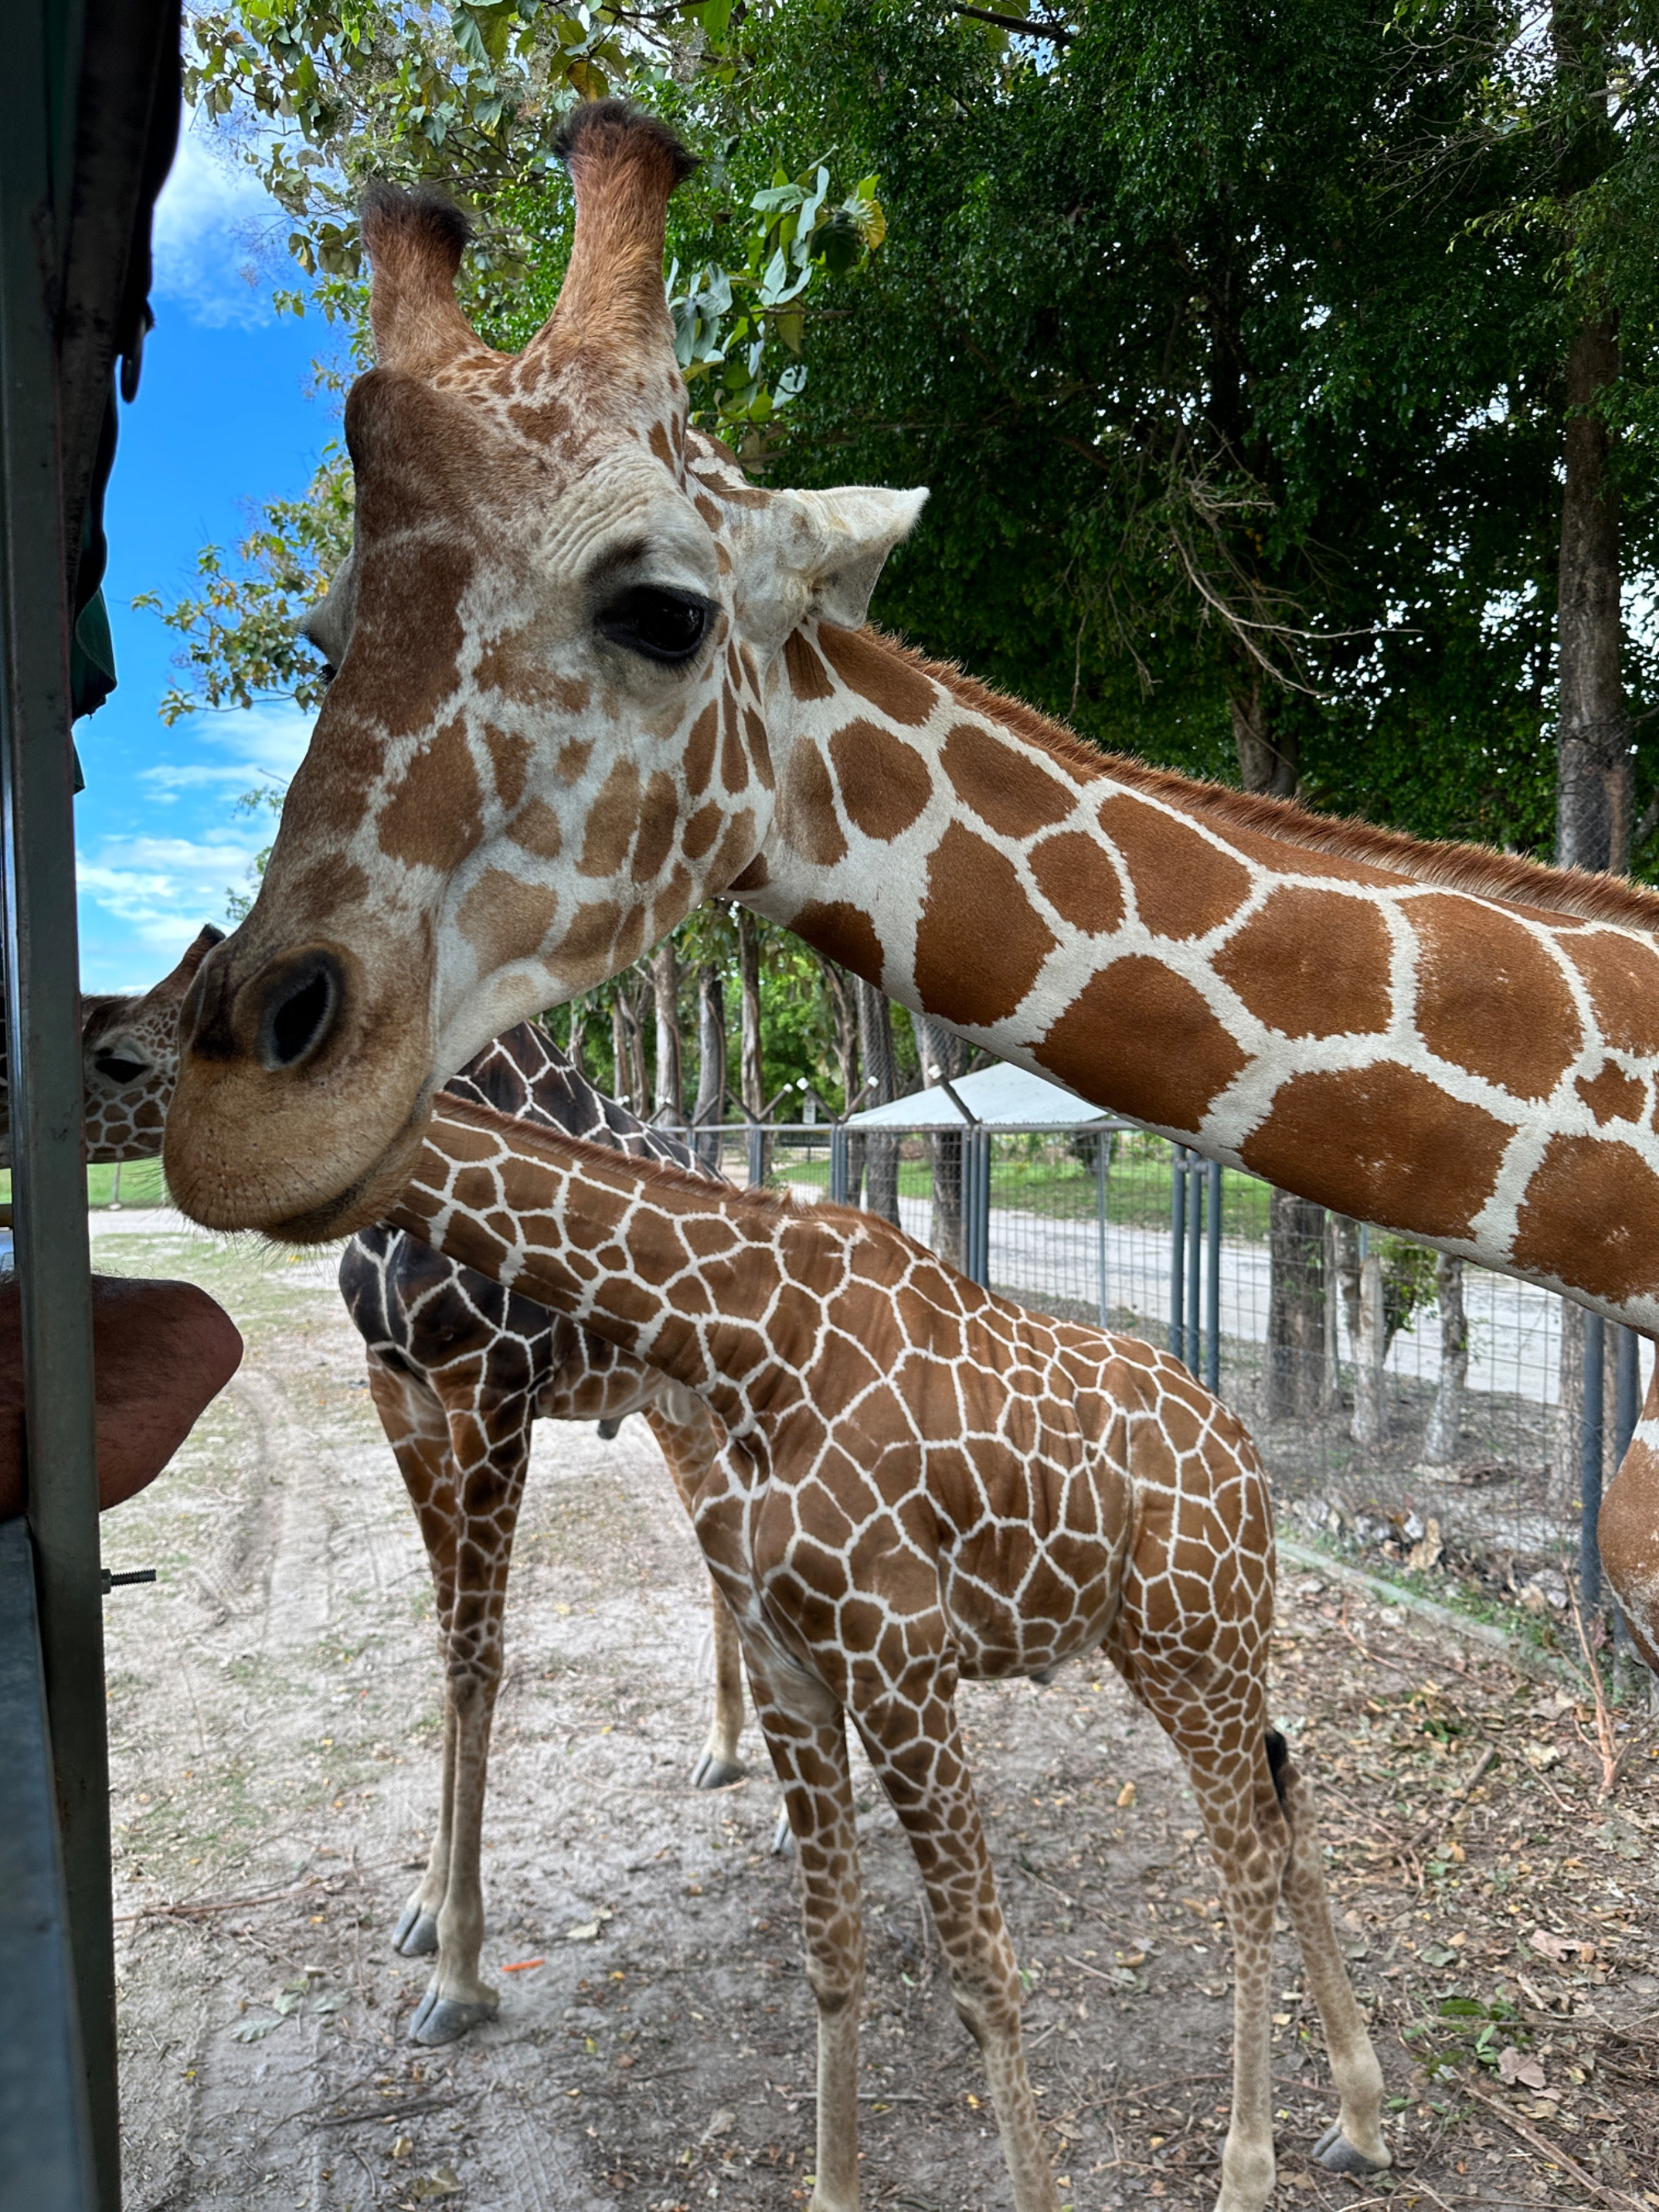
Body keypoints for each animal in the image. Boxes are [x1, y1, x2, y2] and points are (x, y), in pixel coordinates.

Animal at [396, 1097, 1398, 2212]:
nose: (407, 1319)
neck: (743, 1336)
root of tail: (1248, 1453)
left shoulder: (897, 1663)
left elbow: (982, 1969)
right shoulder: (790, 1665)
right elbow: (832, 1949)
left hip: (1197, 1646)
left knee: (1248, 1858)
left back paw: (1245, 2172)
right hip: (1177, 1643)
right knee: (1287, 1804)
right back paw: (1357, 2119)